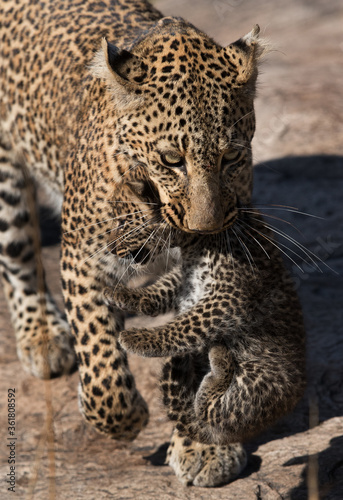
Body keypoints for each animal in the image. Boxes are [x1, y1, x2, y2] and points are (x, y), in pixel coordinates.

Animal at [2, 0, 272, 486]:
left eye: (231, 157)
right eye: (171, 159)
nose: (203, 230)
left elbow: (196, 354)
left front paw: (203, 444)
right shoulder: (84, 259)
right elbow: (101, 364)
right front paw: (123, 419)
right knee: (18, 257)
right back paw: (44, 337)